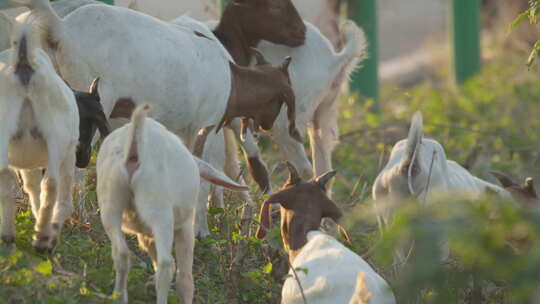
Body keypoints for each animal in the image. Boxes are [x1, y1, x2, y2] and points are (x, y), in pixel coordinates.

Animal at [0, 24, 78, 252]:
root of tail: (24, 63)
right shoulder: (69, 153)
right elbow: (63, 200)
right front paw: (50, 234)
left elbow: (31, 187)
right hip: (55, 134)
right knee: (51, 184)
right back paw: (43, 239)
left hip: (4, 126)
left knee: (5, 176)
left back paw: (8, 236)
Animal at [97, 103, 249, 302]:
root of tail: (135, 146)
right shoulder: (185, 228)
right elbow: (185, 279)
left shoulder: (145, 233)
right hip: (160, 212)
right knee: (165, 264)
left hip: (111, 203)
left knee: (121, 254)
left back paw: (119, 297)